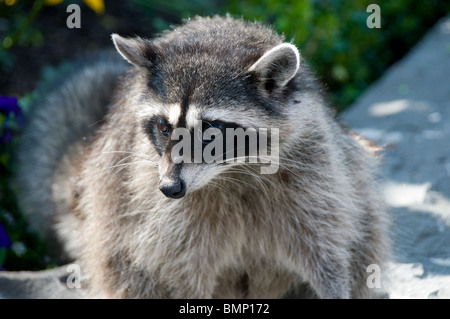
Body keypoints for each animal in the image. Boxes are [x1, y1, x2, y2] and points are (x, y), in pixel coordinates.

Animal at [15, 15, 388, 300]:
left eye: (210, 129)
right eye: (163, 126)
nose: (169, 188)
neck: (232, 172)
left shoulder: (316, 169)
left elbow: (329, 253)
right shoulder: (157, 210)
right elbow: (175, 271)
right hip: (111, 205)